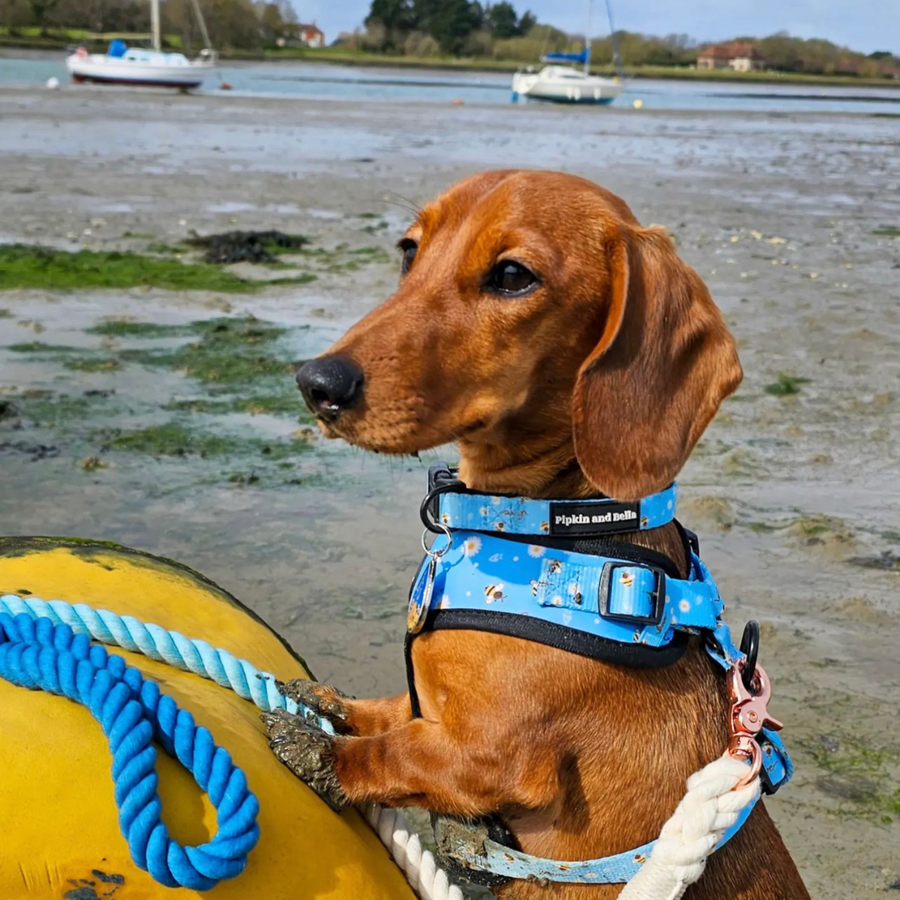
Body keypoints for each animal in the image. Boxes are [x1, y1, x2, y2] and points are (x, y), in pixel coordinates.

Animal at [268, 171, 808, 900]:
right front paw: (329, 701)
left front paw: (322, 750)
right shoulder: (432, 711)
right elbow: (393, 711)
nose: (316, 383)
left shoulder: (487, 758)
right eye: (409, 251)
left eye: (512, 276)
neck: (547, 526)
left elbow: (396, 753)